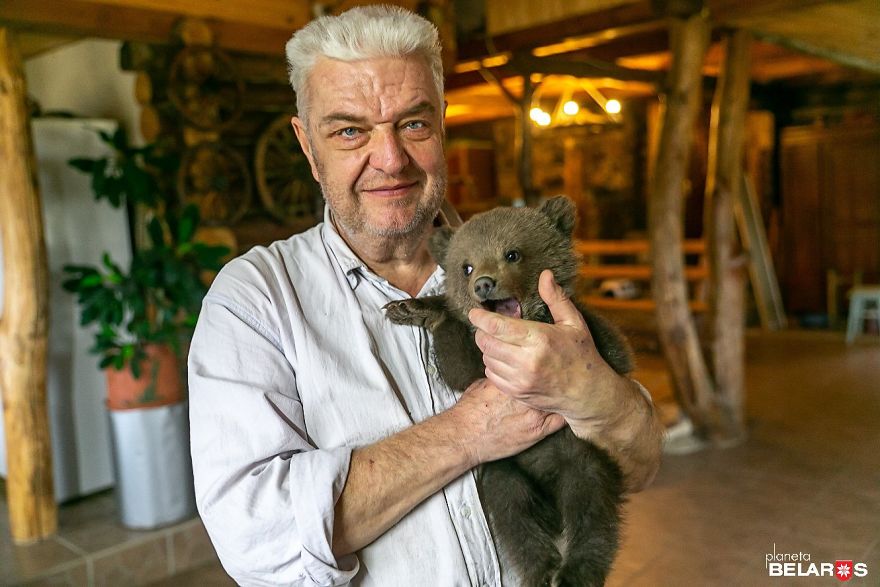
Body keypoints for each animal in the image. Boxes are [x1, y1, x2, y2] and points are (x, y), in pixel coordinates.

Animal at [383, 196, 632, 587]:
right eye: (466, 266)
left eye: (512, 253)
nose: (484, 284)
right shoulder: (476, 366)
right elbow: (457, 366)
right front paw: (414, 307)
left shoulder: (599, 342)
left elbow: (611, 351)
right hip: (507, 467)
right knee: (512, 513)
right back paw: (541, 569)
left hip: (582, 458)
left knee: (593, 508)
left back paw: (575, 572)